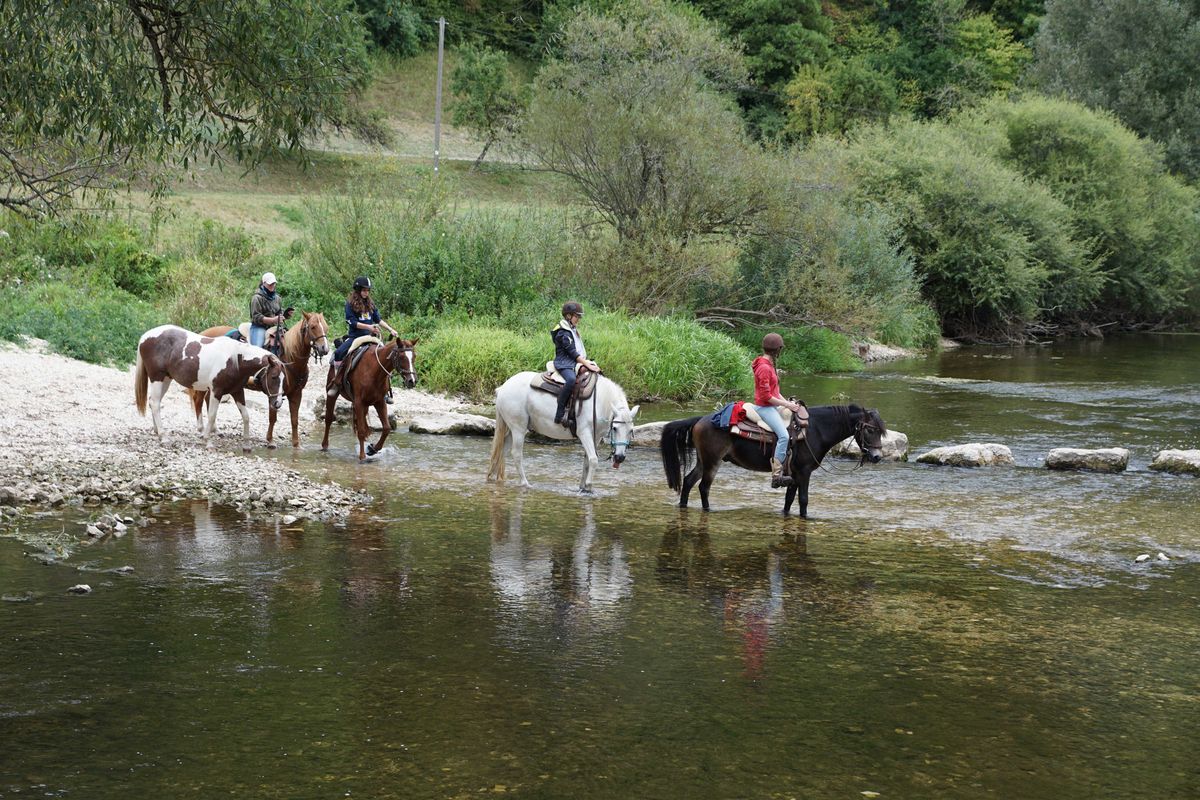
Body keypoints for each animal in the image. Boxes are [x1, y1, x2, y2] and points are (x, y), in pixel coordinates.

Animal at [135, 323, 286, 450]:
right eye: (273, 377)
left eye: (284, 379)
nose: (277, 403)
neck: (235, 359)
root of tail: (145, 336)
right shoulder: (216, 392)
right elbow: (212, 415)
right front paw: (208, 441)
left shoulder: (237, 391)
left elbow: (246, 416)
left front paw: (247, 445)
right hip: (157, 378)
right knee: (155, 403)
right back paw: (163, 436)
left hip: (166, 379)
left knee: (153, 402)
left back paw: (157, 431)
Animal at [484, 371, 643, 494]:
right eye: (615, 428)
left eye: (631, 431)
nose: (619, 457)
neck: (600, 401)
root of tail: (503, 388)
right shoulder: (584, 432)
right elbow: (593, 459)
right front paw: (589, 487)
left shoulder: (596, 437)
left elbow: (587, 461)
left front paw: (582, 487)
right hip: (518, 428)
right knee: (516, 454)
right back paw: (525, 483)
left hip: (512, 429)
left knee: (501, 451)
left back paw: (492, 477)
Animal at [662, 402, 888, 515]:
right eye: (869, 430)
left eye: (881, 430)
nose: (877, 457)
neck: (815, 430)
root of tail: (700, 419)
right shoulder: (804, 472)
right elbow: (804, 500)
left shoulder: (794, 474)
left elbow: (789, 500)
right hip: (712, 462)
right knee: (703, 487)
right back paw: (709, 510)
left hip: (703, 461)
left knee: (689, 481)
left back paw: (683, 506)